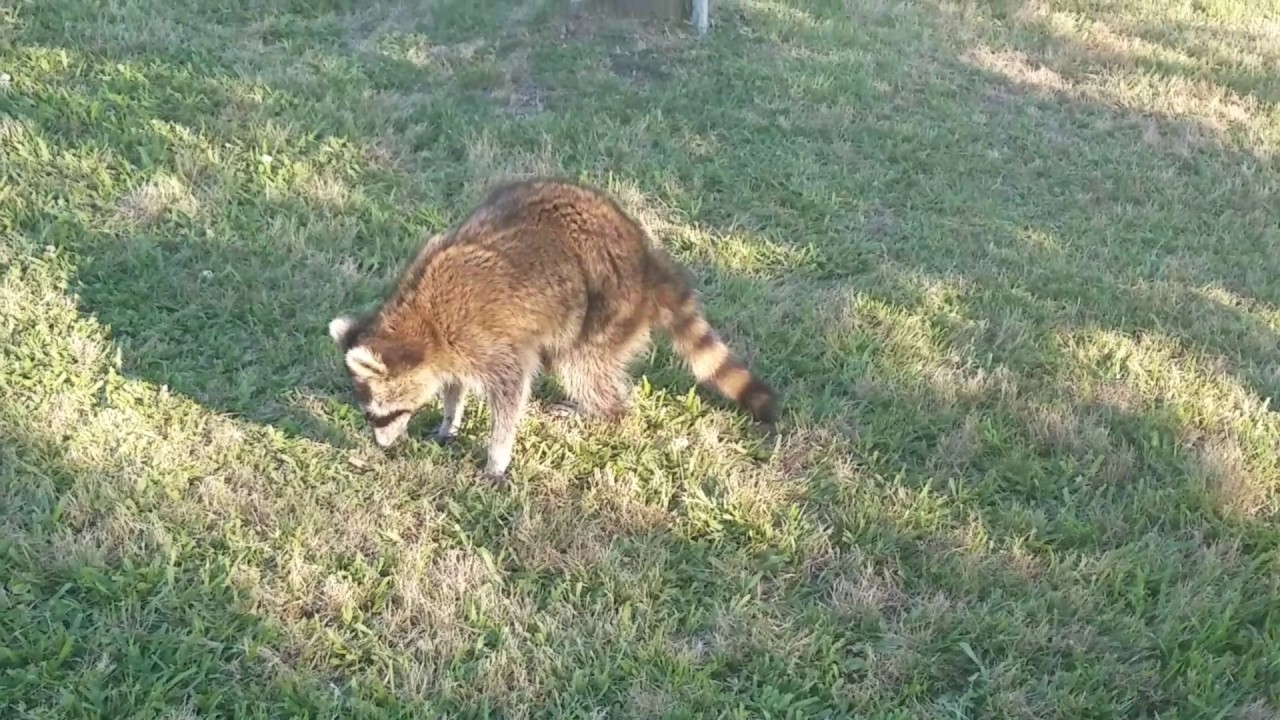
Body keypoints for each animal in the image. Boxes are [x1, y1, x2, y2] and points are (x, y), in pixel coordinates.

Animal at [327, 177, 777, 482]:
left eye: (382, 414)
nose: (382, 447)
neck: (420, 325)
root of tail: (645, 258)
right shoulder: (450, 351)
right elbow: (455, 385)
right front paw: (449, 418)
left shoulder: (484, 340)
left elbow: (511, 391)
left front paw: (497, 456)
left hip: (606, 308)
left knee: (580, 366)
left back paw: (605, 413)